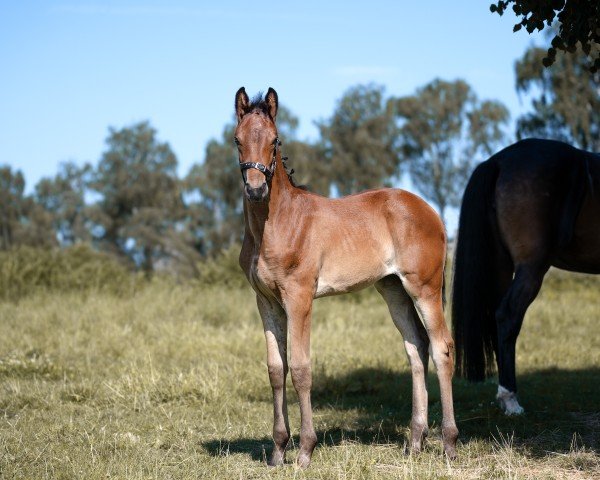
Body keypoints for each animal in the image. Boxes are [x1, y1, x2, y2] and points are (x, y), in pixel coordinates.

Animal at [232, 88, 458, 466]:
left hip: (423, 288)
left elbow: (302, 368)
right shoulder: (266, 302)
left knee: (442, 349)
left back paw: (450, 444)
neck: (277, 223)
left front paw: (305, 451)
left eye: (275, 140)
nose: (256, 189)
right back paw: (415, 442)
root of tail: (431, 211)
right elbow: (276, 369)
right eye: (237, 140)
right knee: (416, 348)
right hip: (393, 290)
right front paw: (278, 450)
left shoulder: (299, 298)